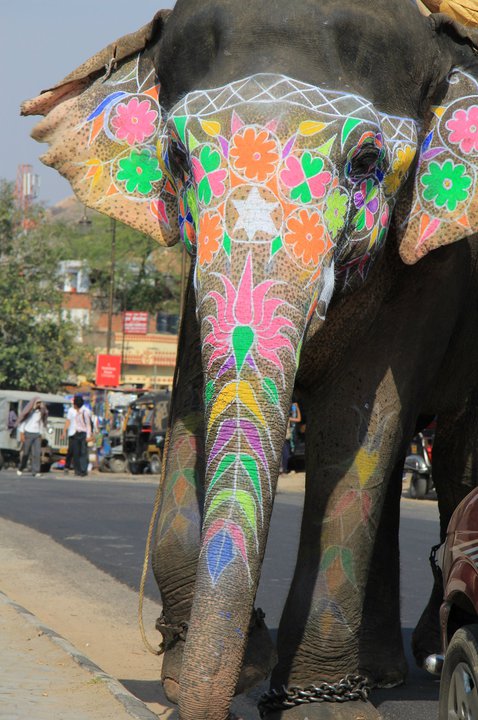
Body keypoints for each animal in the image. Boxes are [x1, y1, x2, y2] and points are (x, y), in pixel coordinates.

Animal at [20, 1, 478, 720]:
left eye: (367, 162)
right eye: (176, 157)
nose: (211, 694)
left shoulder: (430, 268)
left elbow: (354, 426)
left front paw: (318, 709)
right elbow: (193, 407)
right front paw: (221, 669)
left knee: (452, 461)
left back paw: (420, 662)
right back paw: (379, 676)